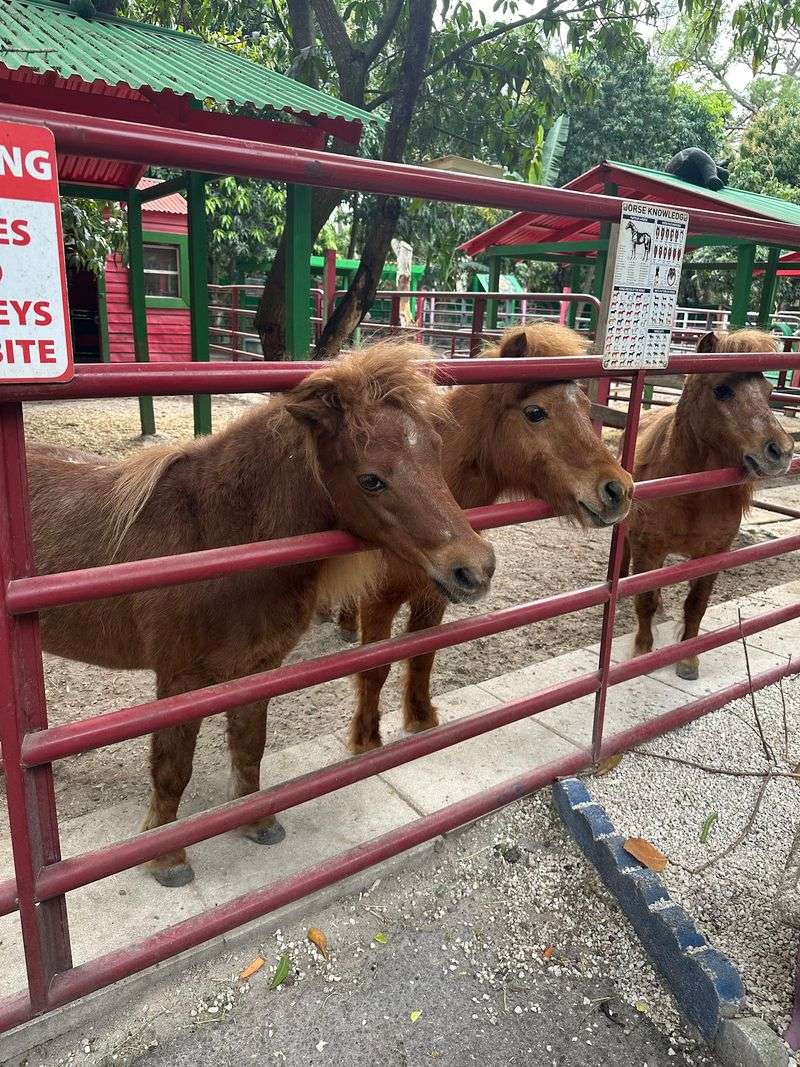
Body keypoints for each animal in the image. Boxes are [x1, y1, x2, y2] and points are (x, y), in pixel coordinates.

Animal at [28, 342, 496, 887]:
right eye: (371, 480)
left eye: (434, 456)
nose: (475, 568)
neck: (215, 538)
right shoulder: (179, 681)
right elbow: (172, 766)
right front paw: (167, 858)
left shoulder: (258, 669)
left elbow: (250, 744)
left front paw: (256, 822)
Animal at [336, 322, 635, 754]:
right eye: (535, 412)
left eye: (584, 407)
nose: (618, 490)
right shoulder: (380, 602)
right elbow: (374, 670)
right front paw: (366, 741)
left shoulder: (435, 596)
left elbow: (422, 654)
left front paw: (421, 719)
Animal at [624, 328, 794, 680]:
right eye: (722, 390)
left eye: (769, 391)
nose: (782, 452)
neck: (692, 495)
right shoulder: (647, 548)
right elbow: (645, 599)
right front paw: (642, 652)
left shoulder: (713, 555)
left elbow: (696, 604)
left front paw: (688, 659)